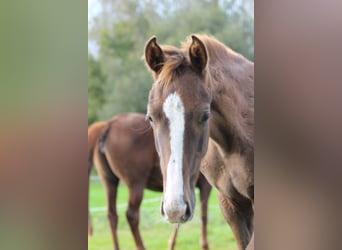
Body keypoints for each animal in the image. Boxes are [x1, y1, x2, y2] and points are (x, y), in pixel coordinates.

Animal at [87, 113, 214, 250]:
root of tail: (109, 124)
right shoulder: (205, 186)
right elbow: (203, 215)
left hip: (109, 182)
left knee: (112, 215)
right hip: (136, 185)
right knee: (131, 215)